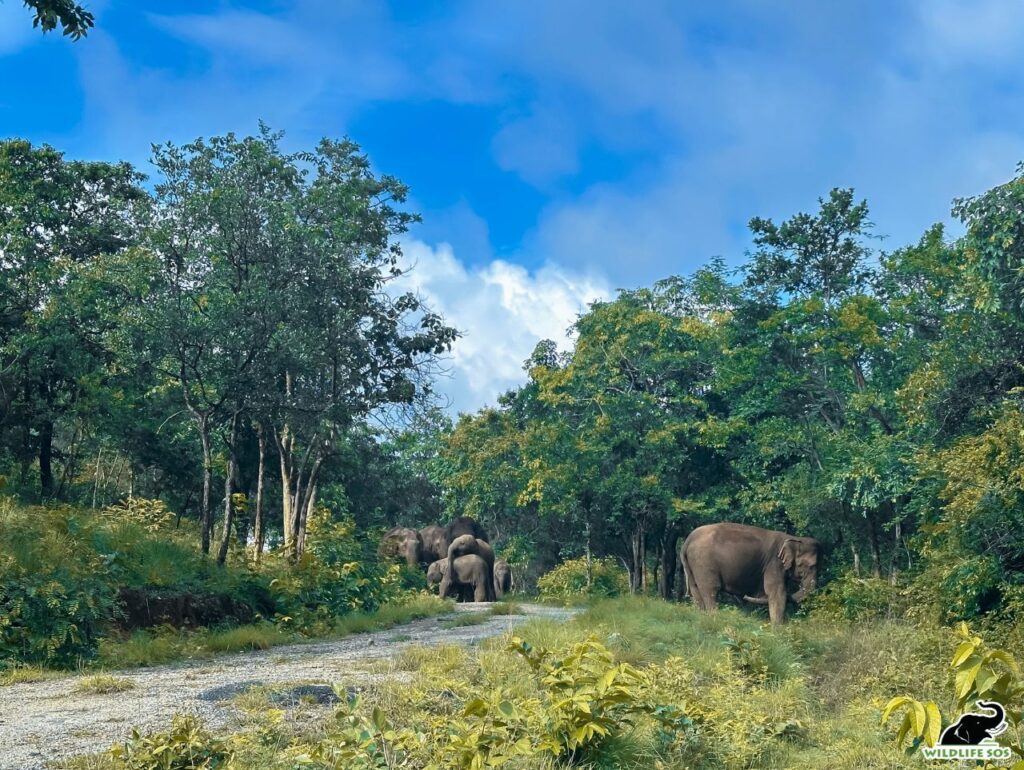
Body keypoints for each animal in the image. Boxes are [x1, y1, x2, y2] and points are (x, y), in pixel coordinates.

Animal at [680, 522, 820, 624]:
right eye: (811, 566)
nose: (745, 596)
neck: (794, 538)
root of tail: (687, 541)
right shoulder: (774, 563)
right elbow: (777, 592)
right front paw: (777, 630)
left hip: (693, 564)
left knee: (695, 590)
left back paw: (701, 616)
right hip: (703, 562)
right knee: (710, 590)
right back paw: (714, 617)